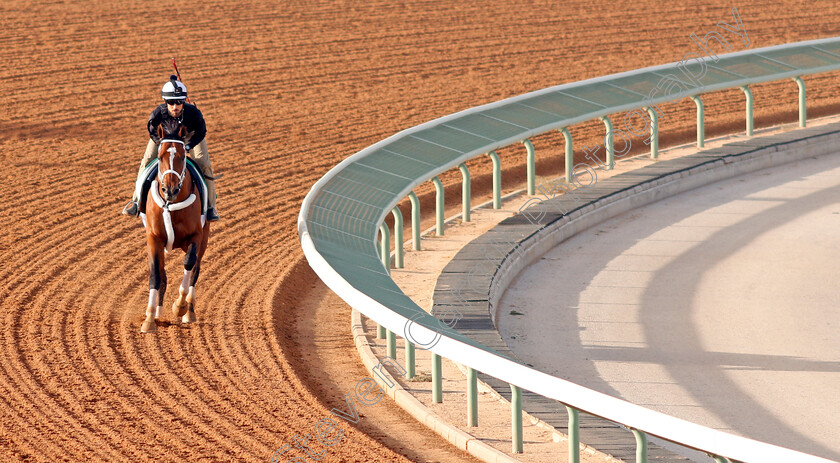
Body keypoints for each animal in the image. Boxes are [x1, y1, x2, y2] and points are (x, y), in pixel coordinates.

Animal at [141, 119, 210, 334]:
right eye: (160, 156)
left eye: (182, 156)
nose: (169, 189)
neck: (170, 205)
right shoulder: (154, 238)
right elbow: (156, 275)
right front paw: (150, 319)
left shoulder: (196, 236)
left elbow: (189, 264)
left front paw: (179, 306)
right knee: (163, 275)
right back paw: (157, 314)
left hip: (204, 239)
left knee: (195, 269)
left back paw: (189, 311)